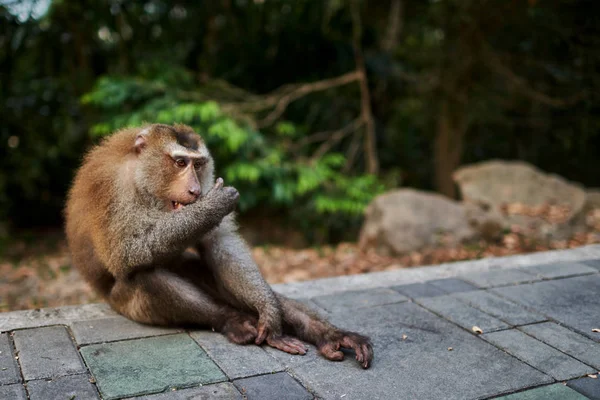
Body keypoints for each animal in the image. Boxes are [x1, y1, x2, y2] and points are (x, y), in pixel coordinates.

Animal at [65, 122, 372, 368]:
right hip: (123, 304)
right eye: (180, 163)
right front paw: (213, 206)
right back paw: (232, 320)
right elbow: (124, 254)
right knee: (144, 276)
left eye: (198, 165)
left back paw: (327, 335)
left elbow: (221, 246)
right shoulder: (110, 188)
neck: (142, 180)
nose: (195, 190)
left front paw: (270, 312)